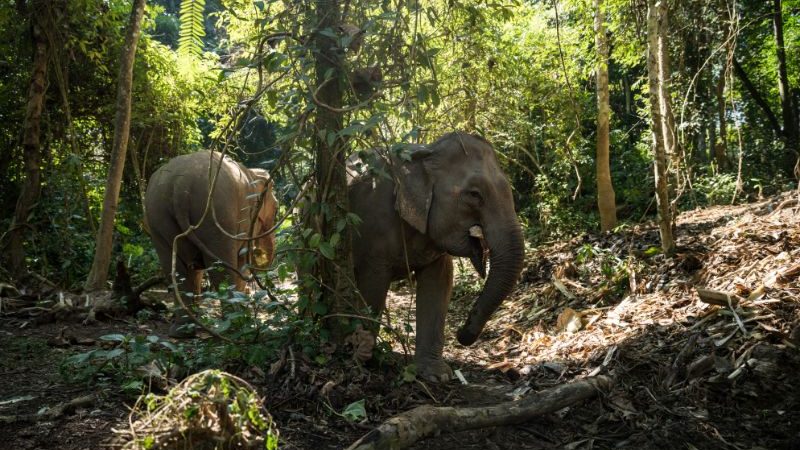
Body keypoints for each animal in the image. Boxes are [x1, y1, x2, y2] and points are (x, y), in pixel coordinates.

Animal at [144, 151, 278, 336]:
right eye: (277, 211)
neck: (251, 172)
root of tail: (180, 187)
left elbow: (195, 269)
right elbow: (241, 262)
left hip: (158, 216)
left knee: (175, 270)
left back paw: (183, 331)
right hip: (216, 216)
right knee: (220, 268)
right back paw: (235, 326)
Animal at [348, 132, 525, 382]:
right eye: (474, 194)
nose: (462, 333)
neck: (424, 154)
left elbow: (439, 281)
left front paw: (436, 375)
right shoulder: (372, 229)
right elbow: (373, 285)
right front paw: (364, 357)